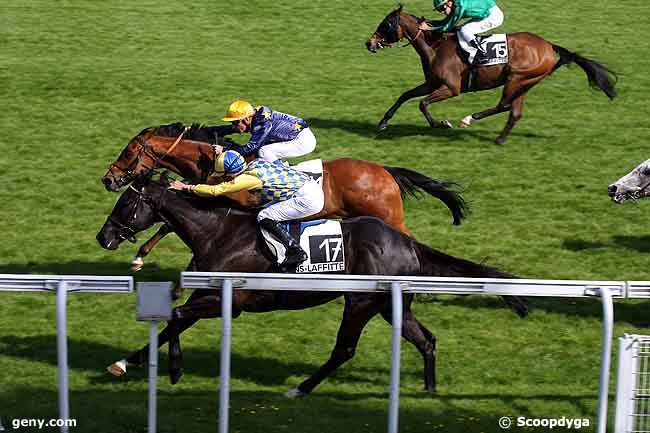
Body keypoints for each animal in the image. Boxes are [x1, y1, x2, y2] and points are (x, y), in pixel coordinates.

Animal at [96, 176, 528, 394]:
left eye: (125, 204)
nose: (104, 237)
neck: (218, 233)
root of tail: (407, 242)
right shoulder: (208, 292)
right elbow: (172, 322)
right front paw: (123, 363)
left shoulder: (227, 299)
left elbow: (177, 315)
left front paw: (174, 370)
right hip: (391, 305)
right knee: (426, 340)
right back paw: (429, 391)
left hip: (360, 303)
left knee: (345, 349)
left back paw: (301, 389)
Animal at [101, 123, 466, 268]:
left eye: (129, 152)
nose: (108, 179)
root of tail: (385, 171)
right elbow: (168, 223)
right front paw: (140, 255)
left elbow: (171, 222)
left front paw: (139, 255)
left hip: (387, 215)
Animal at [368, 5, 616, 143]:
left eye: (386, 24)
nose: (369, 43)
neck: (436, 46)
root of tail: (549, 46)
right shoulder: (432, 83)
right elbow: (405, 96)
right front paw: (383, 123)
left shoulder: (451, 88)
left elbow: (422, 104)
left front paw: (441, 124)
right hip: (526, 82)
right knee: (514, 111)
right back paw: (499, 139)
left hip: (516, 78)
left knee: (504, 105)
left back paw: (469, 118)